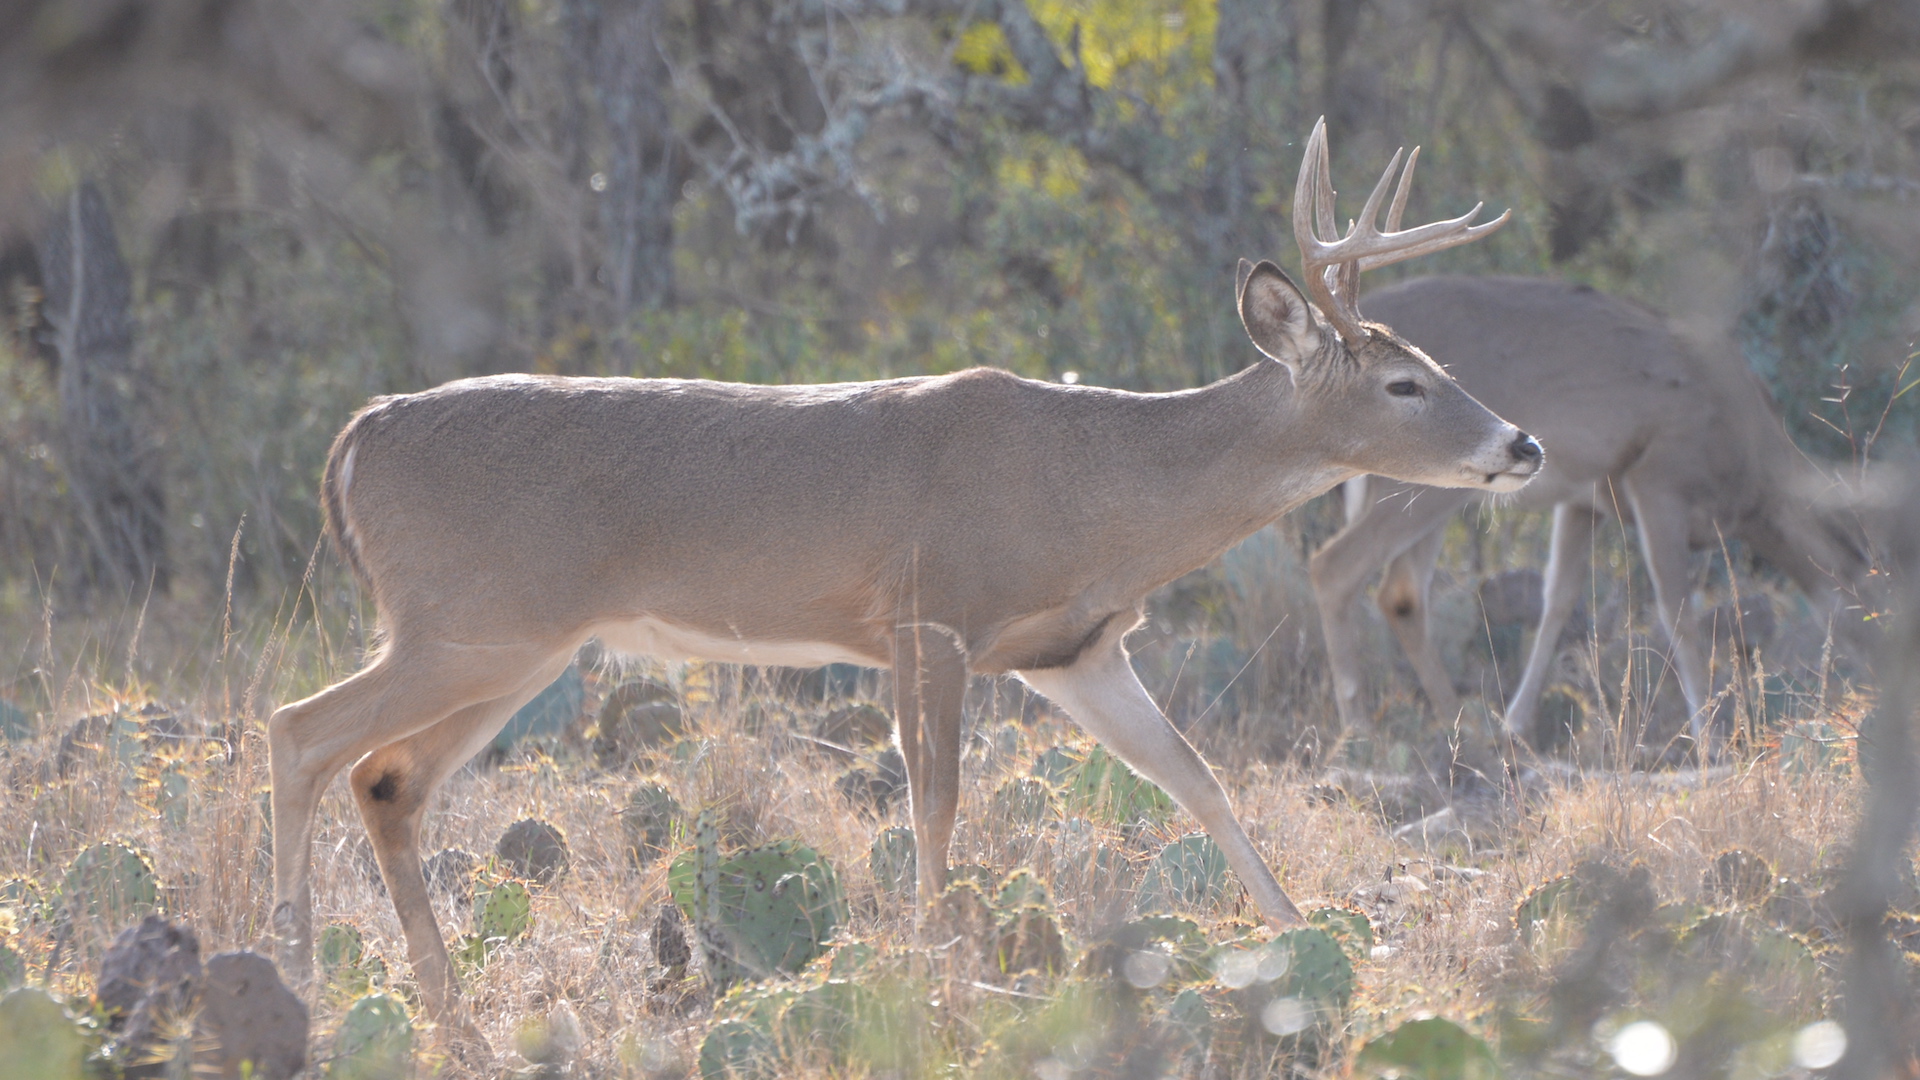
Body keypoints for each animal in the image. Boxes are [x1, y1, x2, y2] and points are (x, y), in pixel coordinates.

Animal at [266, 119, 1543, 1045]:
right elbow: (936, 808)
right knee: (300, 730)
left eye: (1437, 364)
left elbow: (1196, 780)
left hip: (507, 648)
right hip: (471, 624)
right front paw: (937, 980)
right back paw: (294, 973)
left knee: (384, 779)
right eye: (1404, 385)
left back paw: (447, 1018)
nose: (1522, 444)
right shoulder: (933, 616)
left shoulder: (1074, 650)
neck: (1103, 487)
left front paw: (1312, 940)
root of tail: (356, 437)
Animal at [1313, 276, 1866, 749]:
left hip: (1431, 492)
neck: (1751, 482)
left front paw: (1516, 725)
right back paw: (1360, 731)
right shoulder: (1658, 480)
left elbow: (1558, 599)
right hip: (1415, 485)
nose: (1864, 695)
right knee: (1334, 566)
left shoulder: (1585, 500)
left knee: (1401, 594)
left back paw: (1463, 725)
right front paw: (1709, 740)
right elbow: (1677, 613)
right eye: (1872, 603)